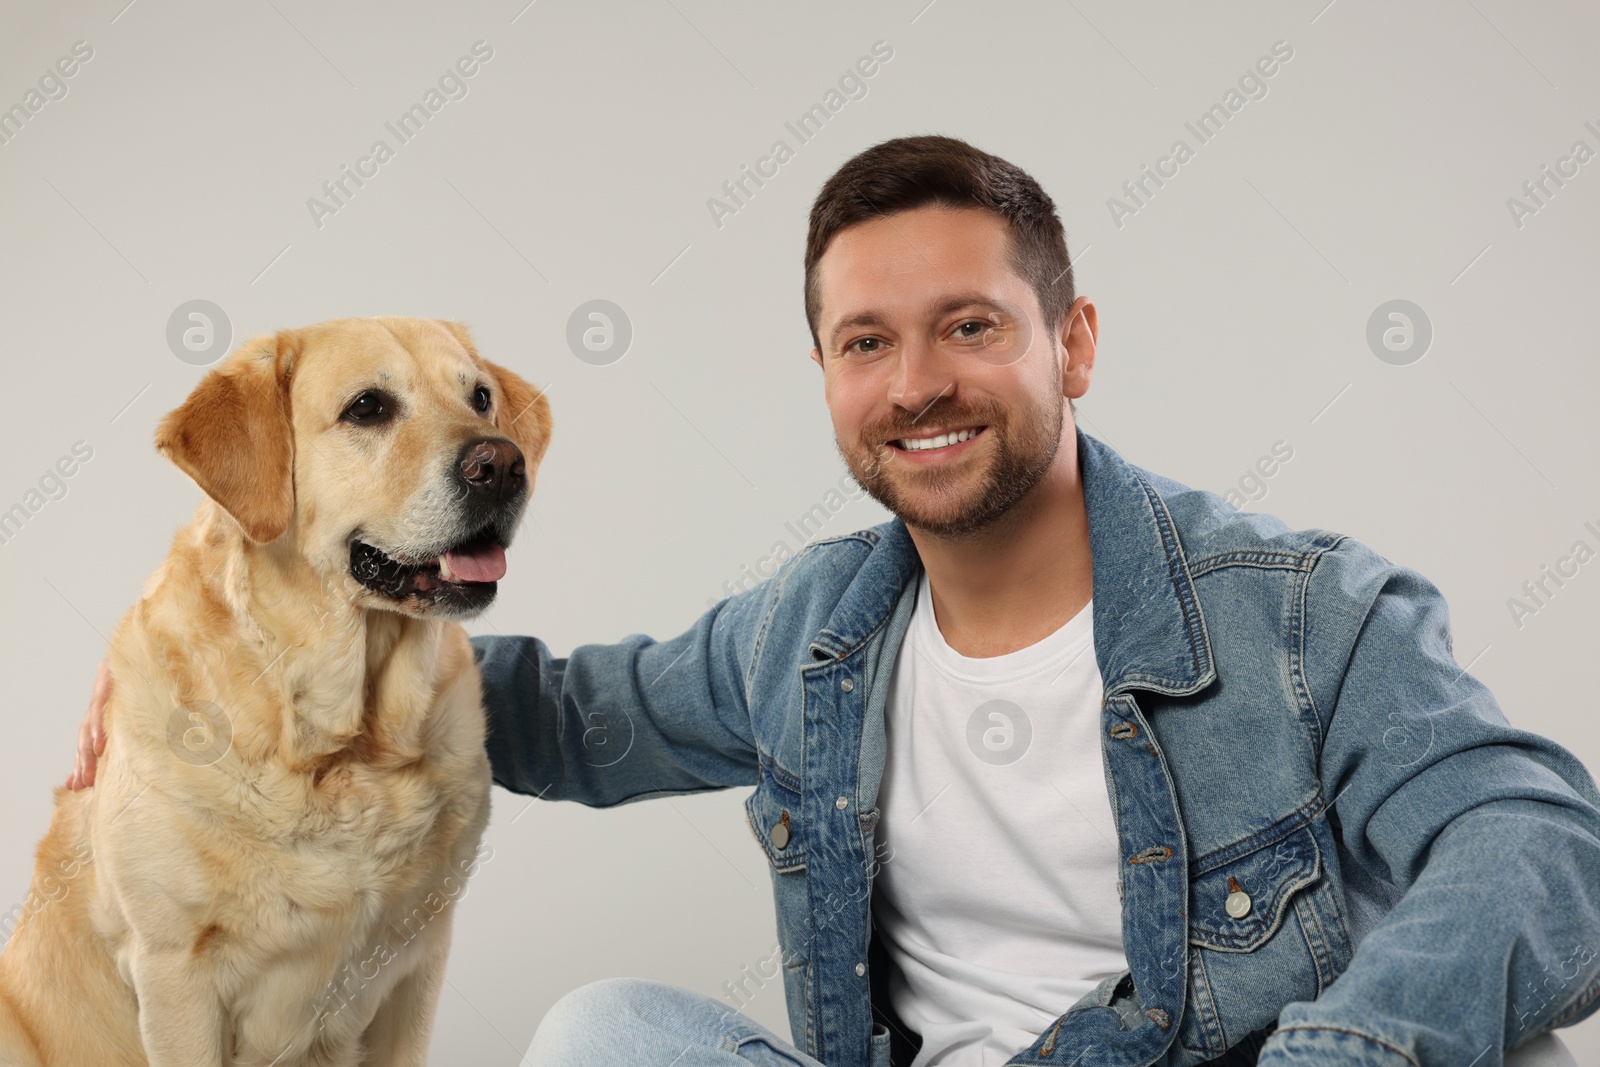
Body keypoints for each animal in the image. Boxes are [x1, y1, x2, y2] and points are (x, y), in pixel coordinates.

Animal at [0, 319, 556, 1067]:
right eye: (368, 407)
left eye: (482, 398)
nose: (500, 464)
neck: (346, 748)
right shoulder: (174, 972)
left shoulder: (419, 963)